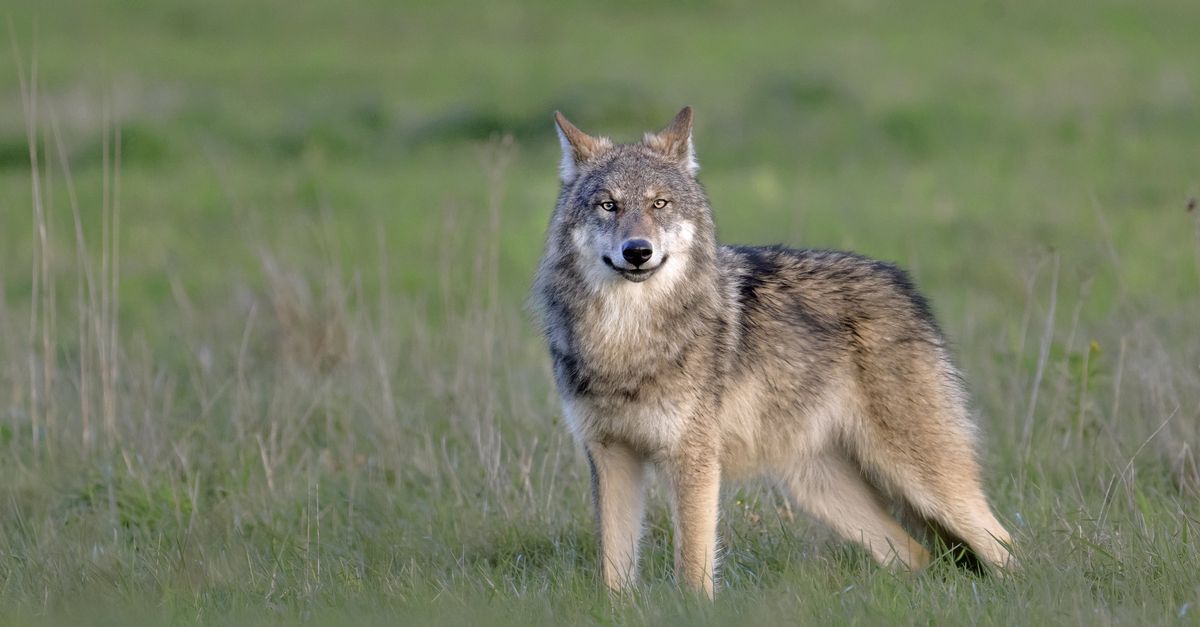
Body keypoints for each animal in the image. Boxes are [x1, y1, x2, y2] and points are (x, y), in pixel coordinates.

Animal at [531, 107, 1014, 598]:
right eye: (608, 205)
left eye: (659, 204)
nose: (637, 251)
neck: (626, 340)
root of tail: (903, 285)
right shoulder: (611, 458)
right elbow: (614, 575)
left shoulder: (694, 460)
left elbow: (693, 569)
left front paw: (692, 607)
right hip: (822, 489)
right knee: (916, 555)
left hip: (923, 480)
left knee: (1004, 545)